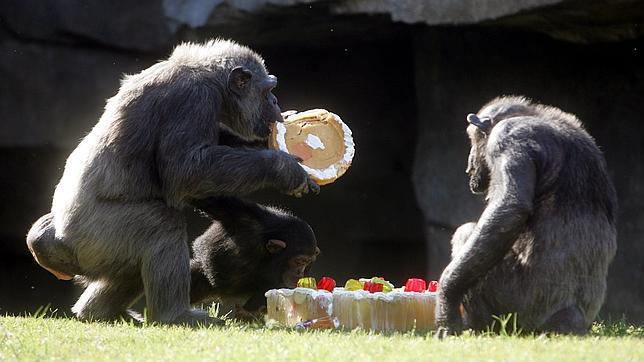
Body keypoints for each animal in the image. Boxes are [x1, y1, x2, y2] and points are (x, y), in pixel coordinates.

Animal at [436, 95, 616, 336]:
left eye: (472, 139)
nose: (469, 164)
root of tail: (570, 321)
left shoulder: (506, 137)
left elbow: (510, 208)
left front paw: (447, 302)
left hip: (520, 306)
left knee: (466, 232)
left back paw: (475, 325)